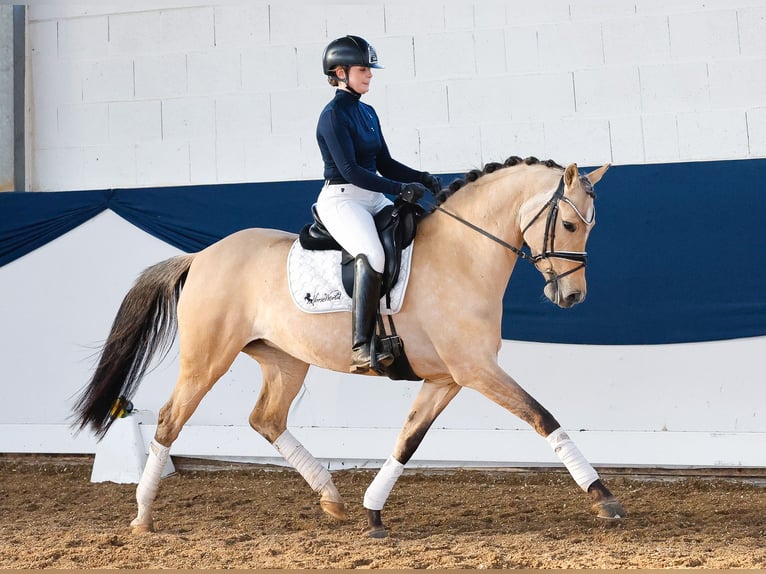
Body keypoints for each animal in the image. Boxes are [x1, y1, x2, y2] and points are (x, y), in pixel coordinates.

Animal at [72, 154, 628, 540]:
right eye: (571, 224)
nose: (571, 297)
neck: (463, 254)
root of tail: (201, 255)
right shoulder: (476, 370)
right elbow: (542, 417)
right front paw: (603, 499)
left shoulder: (446, 378)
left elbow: (407, 440)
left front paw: (373, 513)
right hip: (206, 358)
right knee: (171, 420)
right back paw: (143, 515)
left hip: (285, 360)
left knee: (266, 419)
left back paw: (332, 497)